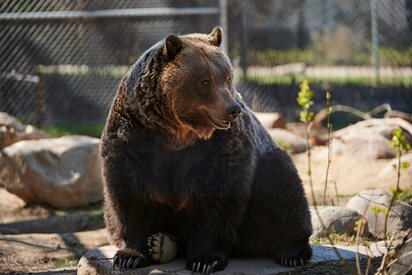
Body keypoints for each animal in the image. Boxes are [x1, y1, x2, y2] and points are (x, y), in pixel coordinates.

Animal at [100, 27, 312, 274]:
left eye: (227, 77)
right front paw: (129, 255)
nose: (233, 109)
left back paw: (293, 251)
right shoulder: (133, 136)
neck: (175, 131)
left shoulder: (217, 147)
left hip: (266, 169)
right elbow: (129, 192)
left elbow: (216, 195)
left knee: (284, 189)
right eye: (205, 81)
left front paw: (205, 259)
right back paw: (161, 243)